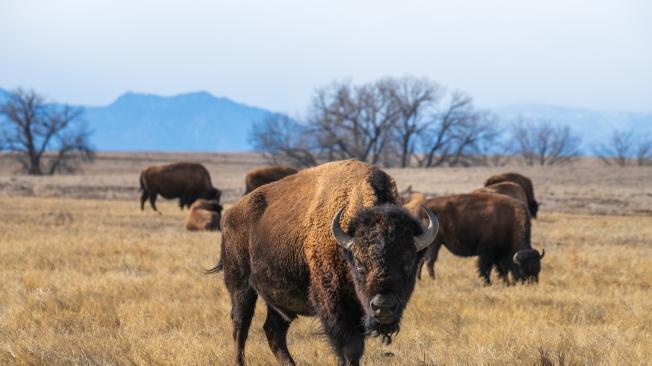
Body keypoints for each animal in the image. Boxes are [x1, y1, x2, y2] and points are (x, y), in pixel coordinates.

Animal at [209, 160, 438, 366]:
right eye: (360, 264)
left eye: (408, 264)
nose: (383, 307)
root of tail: (230, 214)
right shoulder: (334, 304)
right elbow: (349, 348)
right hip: (241, 287)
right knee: (241, 326)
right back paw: (239, 361)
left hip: (277, 298)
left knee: (273, 331)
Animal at [416, 193, 544, 284]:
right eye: (522, 270)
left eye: (538, 269)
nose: (531, 284)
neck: (510, 222)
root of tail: (421, 208)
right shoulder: (487, 252)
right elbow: (486, 267)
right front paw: (488, 282)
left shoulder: (500, 254)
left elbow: (501, 268)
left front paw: (505, 282)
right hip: (435, 243)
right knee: (429, 261)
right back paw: (433, 279)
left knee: (421, 260)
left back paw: (420, 279)